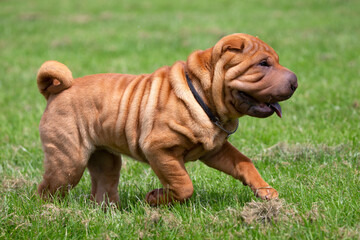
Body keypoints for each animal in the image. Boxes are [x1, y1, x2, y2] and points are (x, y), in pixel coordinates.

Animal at [36, 33, 296, 206]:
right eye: (263, 64)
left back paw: (109, 211)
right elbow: (183, 184)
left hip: (105, 159)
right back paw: (49, 213)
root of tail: (56, 90)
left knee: (102, 186)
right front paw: (155, 198)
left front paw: (265, 191)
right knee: (47, 190)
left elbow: (244, 163)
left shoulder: (216, 149)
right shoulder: (159, 149)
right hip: (68, 161)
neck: (202, 94)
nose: (295, 81)